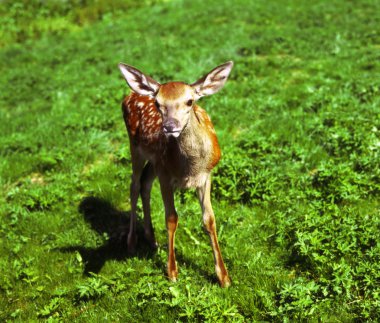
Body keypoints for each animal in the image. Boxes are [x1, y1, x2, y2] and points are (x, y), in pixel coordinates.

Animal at [118, 61, 235, 288]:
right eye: (157, 103)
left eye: (190, 101)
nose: (170, 126)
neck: (190, 168)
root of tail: (131, 94)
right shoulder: (165, 176)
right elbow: (171, 218)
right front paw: (172, 271)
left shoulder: (206, 175)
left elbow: (209, 219)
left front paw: (224, 277)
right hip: (135, 147)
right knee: (134, 185)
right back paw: (131, 241)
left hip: (154, 160)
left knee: (145, 183)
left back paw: (152, 239)